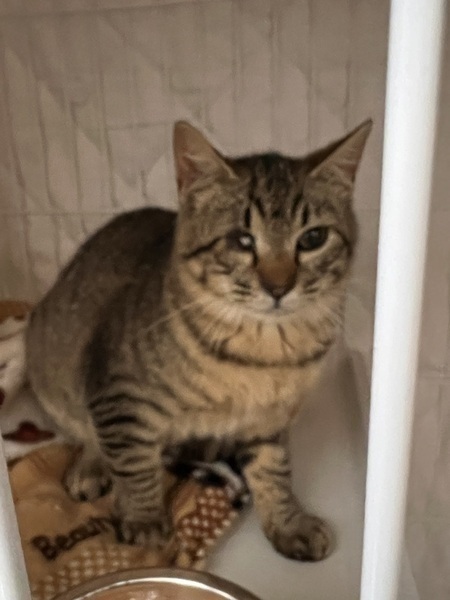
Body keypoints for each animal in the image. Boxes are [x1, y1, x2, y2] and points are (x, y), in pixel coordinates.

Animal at [26, 119, 371, 561]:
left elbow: (274, 471)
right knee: (87, 432)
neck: (264, 354)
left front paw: (287, 522)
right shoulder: (118, 396)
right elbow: (134, 465)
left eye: (312, 238)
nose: (279, 287)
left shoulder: (271, 420)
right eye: (242, 240)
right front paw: (143, 521)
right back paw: (91, 466)